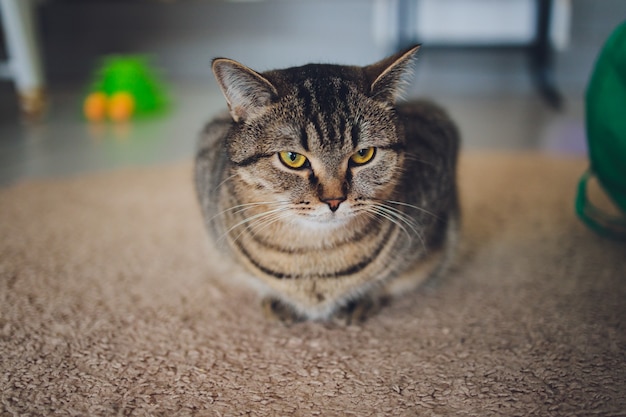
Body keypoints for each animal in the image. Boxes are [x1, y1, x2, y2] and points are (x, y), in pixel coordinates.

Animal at [195, 45, 458, 324]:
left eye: (363, 154)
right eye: (292, 158)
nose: (334, 200)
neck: (315, 259)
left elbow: (388, 281)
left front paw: (362, 299)